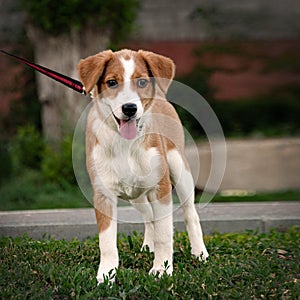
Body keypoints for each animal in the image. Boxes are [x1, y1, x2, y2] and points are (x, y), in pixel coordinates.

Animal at [77, 49, 209, 284]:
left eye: (141, 82)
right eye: (112, 82)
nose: (129, 109)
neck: (125, 144)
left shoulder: (161, 188)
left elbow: (165, 234)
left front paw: (162, 269)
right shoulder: (103, 195)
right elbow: (107, 242)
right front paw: (106, 275)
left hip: (179, 169)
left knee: (190, 213)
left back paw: (199, 252)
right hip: (136, 195)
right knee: (149, 215)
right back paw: (149, 246)